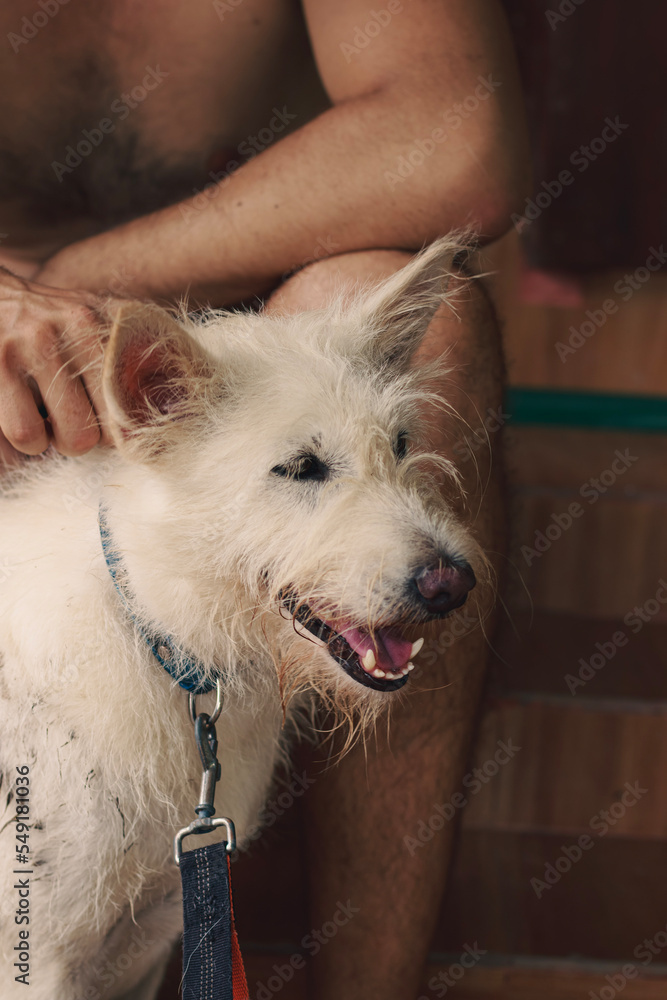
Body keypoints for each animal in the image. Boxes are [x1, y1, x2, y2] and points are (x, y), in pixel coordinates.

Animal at [2, 240, 488, 1000]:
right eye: (301, 467)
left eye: (401, 444)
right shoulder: (38, 959)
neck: (160, 630)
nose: (451, 584)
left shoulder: (156, 933)